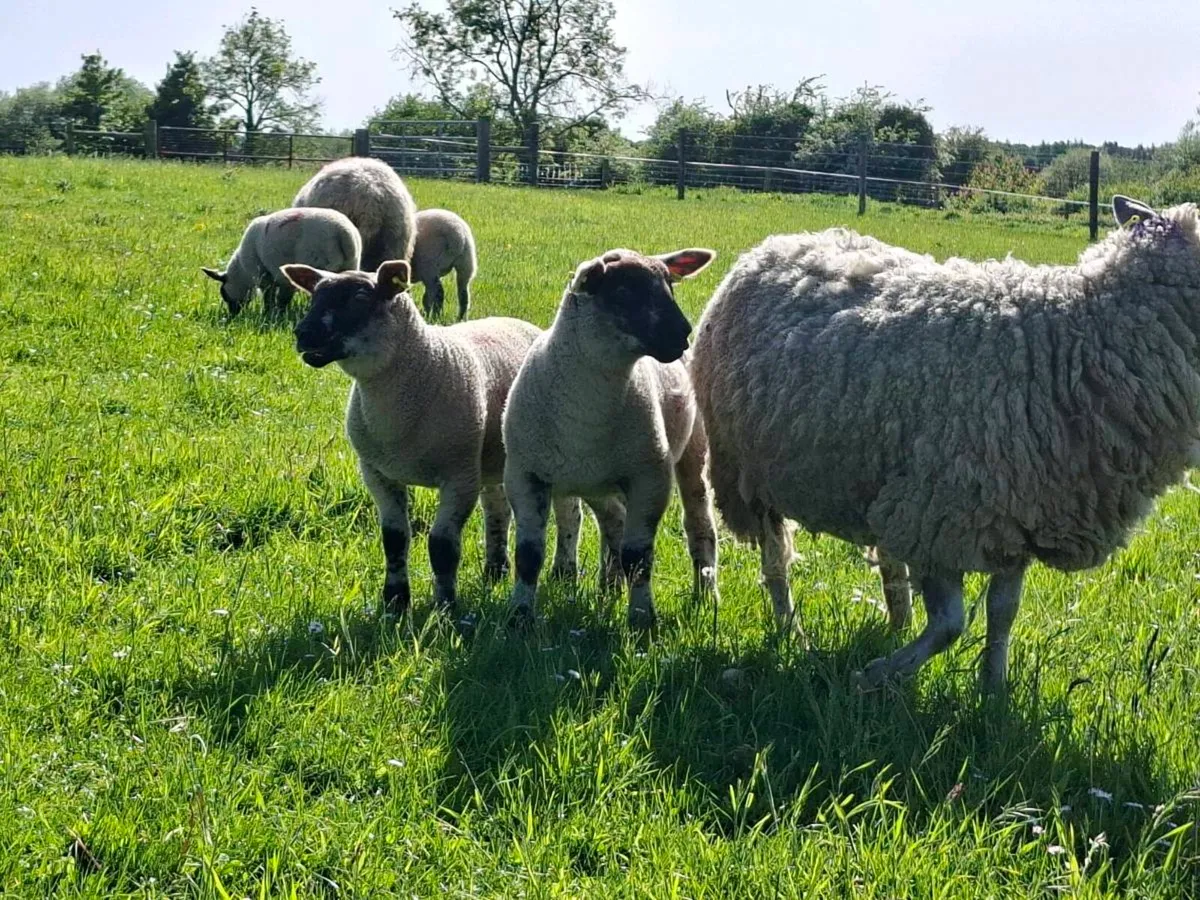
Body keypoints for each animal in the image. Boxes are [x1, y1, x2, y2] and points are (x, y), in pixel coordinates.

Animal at [201, 207, 361, 316]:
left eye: (224, 293)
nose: (233, 314)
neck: (242, 271)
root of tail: (343, 233)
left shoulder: (266, 276)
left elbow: (272, 297)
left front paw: (271, 313)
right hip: (350, 265)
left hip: (319, 261)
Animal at [281, 258, 582, 615]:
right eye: (314, 295)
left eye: (360, 297)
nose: (303, 333)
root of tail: (520, 323)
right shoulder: (377, 473)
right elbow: (394, 539)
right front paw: (395, 602)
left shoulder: (459, 476)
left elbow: (442, 546)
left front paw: (444, 609)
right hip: (492, 458)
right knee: (497, 508)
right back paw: (495, 569)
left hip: (547, 451)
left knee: (569, 513)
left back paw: (564, 572)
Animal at [502, 247, 721, 630]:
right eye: (623, 292)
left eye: (669, 285)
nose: (682, 333)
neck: (586, 412)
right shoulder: (525, 477)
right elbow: (528, 555)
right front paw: (520, 617)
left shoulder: (650, 479)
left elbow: (639, 557)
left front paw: (642, 620)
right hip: (594, 482)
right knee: (613, 521)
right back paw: (609, 586)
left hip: (691, 452)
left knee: (699, 524)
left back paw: (705, 593)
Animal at [690, 195, 1200, 694]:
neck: (1075, 341)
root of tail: (777, 244)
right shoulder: (942, 515)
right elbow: (950, 625)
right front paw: (874, 677)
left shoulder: (1015, 517)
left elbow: (1002, 613)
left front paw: (992, 692)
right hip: (747, 474)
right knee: (776, 563)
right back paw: (791, 632)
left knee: (886, 559)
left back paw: (895, 619)